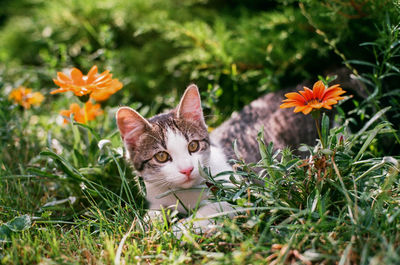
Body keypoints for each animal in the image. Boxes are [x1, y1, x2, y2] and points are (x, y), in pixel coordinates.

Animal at [115, 84, 238, 231]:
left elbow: (214, 209)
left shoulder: (237, 191)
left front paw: (179, 231)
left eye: (193, 146)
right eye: (161, 156)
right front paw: (143, 225)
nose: (187, 170)